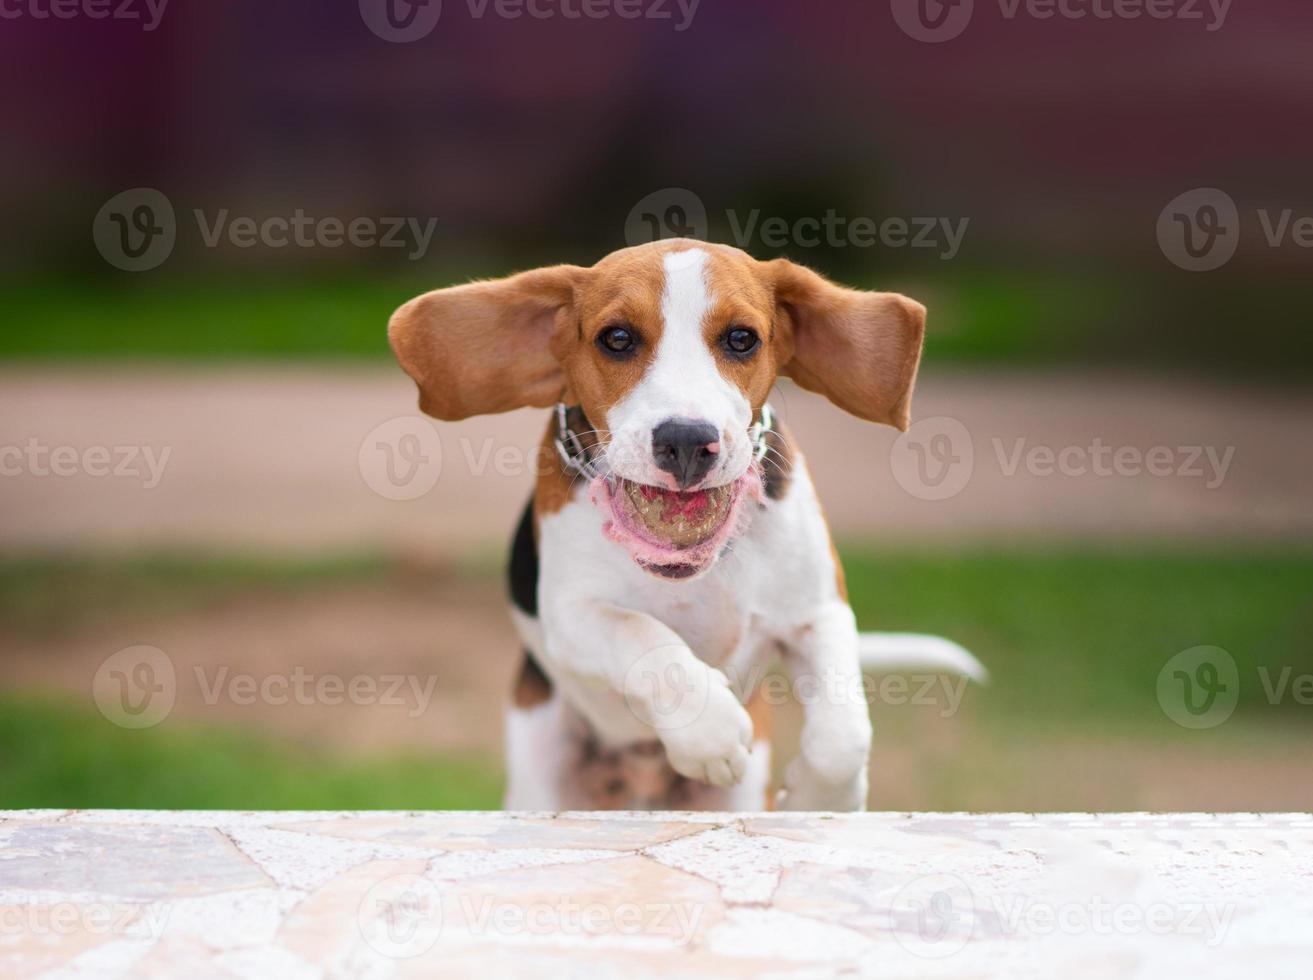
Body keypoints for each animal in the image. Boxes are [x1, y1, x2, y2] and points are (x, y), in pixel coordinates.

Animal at [383, 239, 982, 809]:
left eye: (741, 339)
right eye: (617, 338)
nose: (688, 441)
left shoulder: (818, 611)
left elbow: (842, 736)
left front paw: (821, 799)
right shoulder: (570, 616)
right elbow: (643, 635)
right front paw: (708, 730)